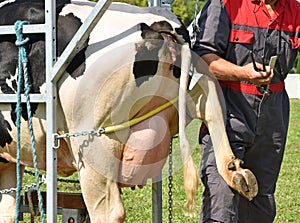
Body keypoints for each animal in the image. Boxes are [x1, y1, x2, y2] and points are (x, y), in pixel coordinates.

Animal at [0, 0, 258, 222]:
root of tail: (159, 22)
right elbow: (9, 209)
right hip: (178, 96)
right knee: (209, 92)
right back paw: (236, 172)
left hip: (93, 139)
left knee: (109, 211)